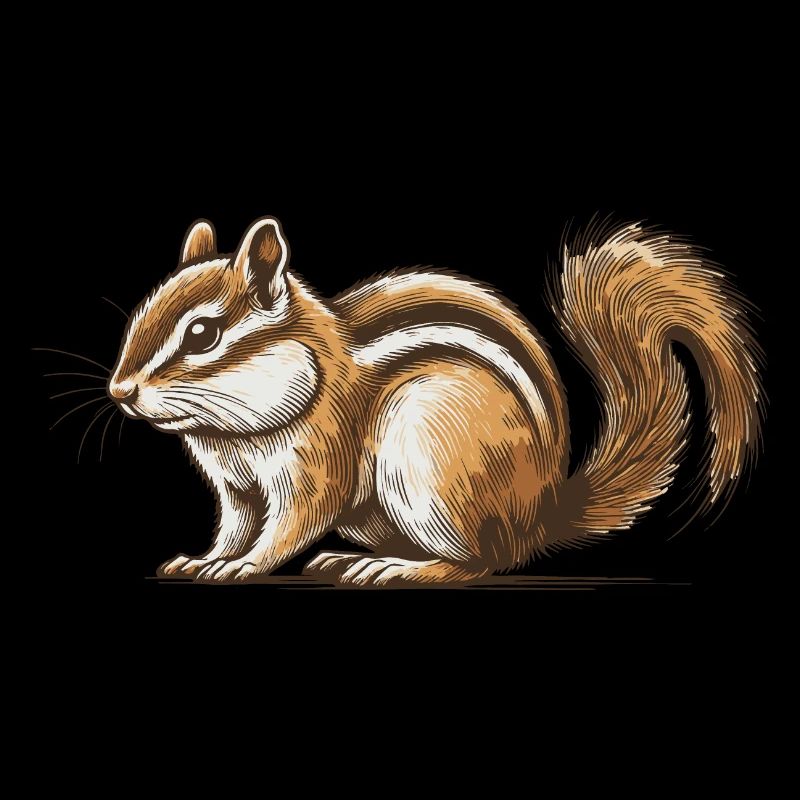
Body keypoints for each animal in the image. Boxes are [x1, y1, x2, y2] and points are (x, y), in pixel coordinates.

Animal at [108, 216, 764, 585]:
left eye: (202, 334)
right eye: (140, 313)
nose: (119, 391)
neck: (232, 432)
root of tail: (541, 512)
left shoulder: (319, 461)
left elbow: (293, 523)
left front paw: (244, 565)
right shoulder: (236, 489)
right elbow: (236, 525)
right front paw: (206, 559)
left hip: (430, 466)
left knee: (480, 562)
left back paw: (401, 569)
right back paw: (350, 561)